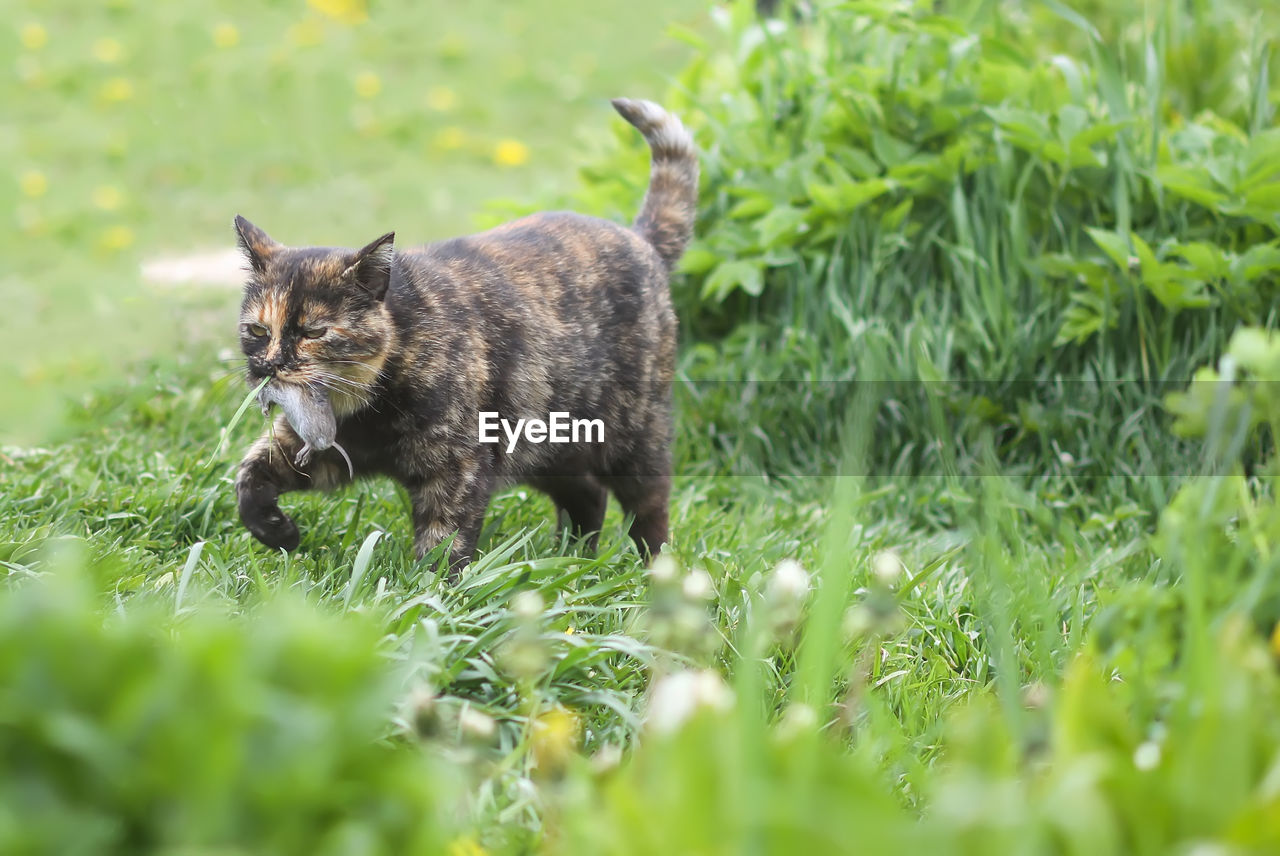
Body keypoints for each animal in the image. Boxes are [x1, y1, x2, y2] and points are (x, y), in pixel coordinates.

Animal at [235, 98, 706, 580]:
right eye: (257, 330)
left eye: (315, 332)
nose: (269, 365)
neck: (368, 407)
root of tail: (639, 238)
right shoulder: (318, 451)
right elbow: (247, 477)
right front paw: (277, 531)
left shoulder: (457, 470)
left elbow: (444, 544)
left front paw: (431, 593)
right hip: (547, 447)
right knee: (588, 496)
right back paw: (570, 562)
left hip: (634, 438)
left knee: (649, 510)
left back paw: (654, 574)